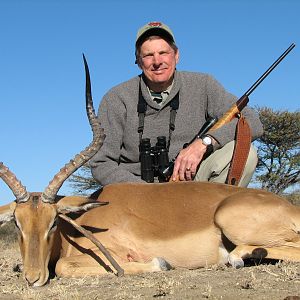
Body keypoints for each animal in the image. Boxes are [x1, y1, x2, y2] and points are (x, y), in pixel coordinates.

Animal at [0, 56, 300, 288]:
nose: (32, 278)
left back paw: (238, 257)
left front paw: (160, 263)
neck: (78, 225)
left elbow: (64, 266)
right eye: (17, 223)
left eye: (53, 222)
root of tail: (290, 207)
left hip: (231, 221)